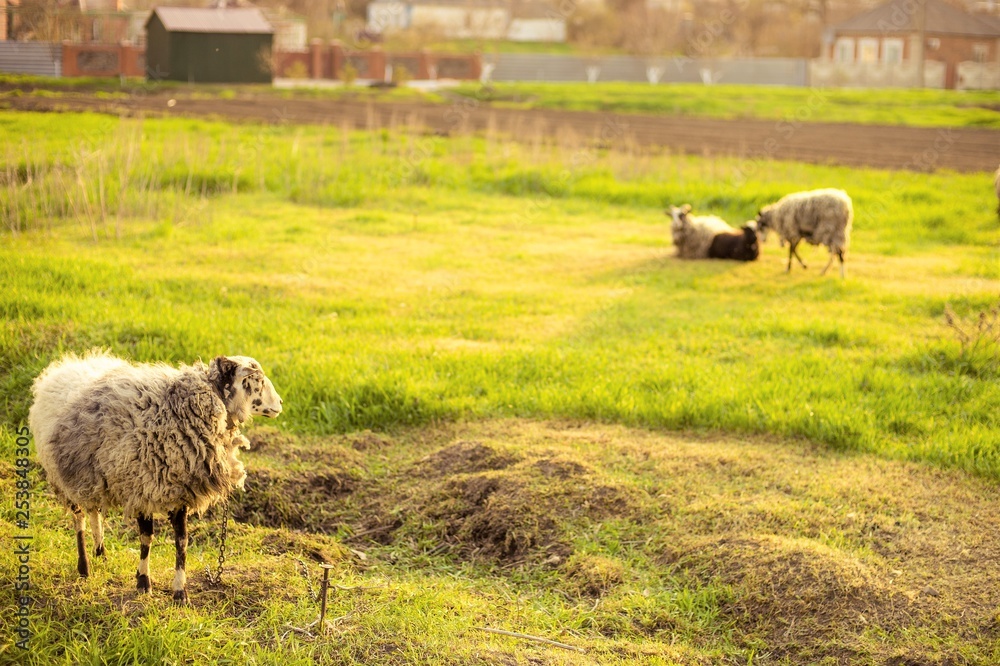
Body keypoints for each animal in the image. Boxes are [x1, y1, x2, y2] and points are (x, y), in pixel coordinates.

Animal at [28, 351, 282, 603]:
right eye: (257, 379)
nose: (280, 403)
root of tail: (67, 365)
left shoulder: (181, 491)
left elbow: (182, 541)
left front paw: (180, 592)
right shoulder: (142, 487)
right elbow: (146, 538)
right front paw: (143, 582)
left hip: (90, 475)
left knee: (94, 511)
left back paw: (100, 552)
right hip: (63, 474)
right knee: (79, 518)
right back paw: (84, 567)